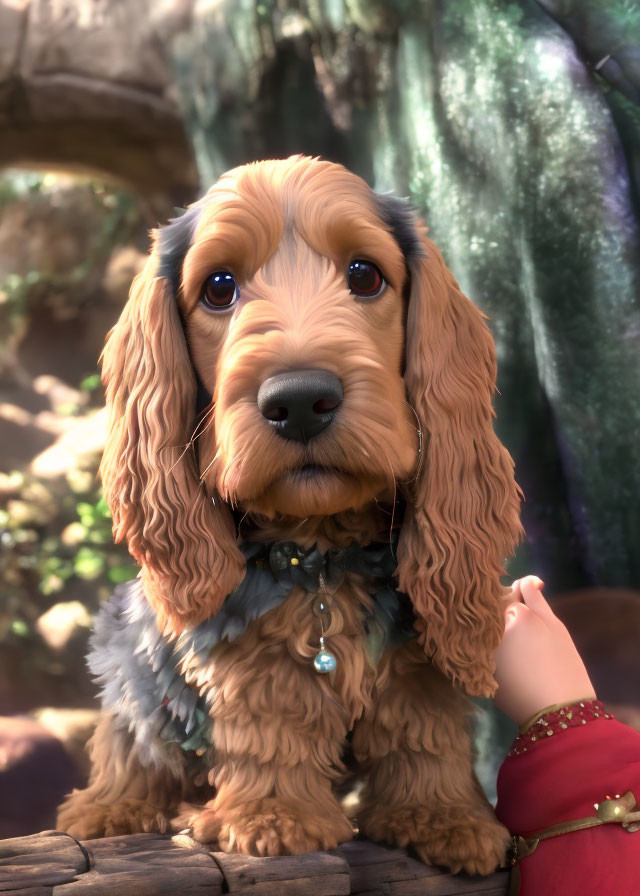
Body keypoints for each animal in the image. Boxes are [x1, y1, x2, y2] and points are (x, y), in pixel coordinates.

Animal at [56, 156, 524, 876]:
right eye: (219, 287)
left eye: (365, 275)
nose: (300, 400)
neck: (321, 552)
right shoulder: (244, 648)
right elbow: (273, 715)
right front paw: (274, 817)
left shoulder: (417, 645)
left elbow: (422, 725)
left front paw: (445, 815)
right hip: (126, 647)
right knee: (129, 737)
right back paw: (111, 807)